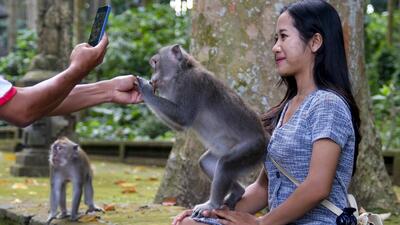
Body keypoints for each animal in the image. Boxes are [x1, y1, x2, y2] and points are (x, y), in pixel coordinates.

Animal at [138, 44, 268, 216]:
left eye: (155, 62)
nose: (152, 77)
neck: (181, 73)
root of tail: (265, 138)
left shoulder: (192, 83)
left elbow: (183, 117)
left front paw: (144, 89)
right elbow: (179, 125)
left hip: (252, 149)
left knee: (226, 164)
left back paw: (212, 205)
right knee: (207, 162)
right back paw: (237, 192)